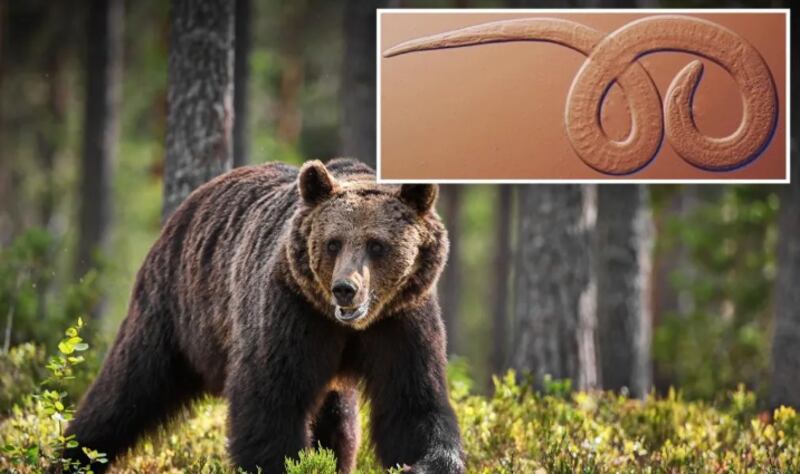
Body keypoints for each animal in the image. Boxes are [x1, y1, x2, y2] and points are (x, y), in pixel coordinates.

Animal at [65, 159, 466, 474]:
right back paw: (74, 454)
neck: (346, 326)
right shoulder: (291, 310)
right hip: (173, 310)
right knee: (127, 389)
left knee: (338, 422)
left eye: (377, 245)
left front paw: (426, 464)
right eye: (333, 242)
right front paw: (285, 462)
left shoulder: (401, 320)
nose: (345, 289)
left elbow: (412, 403)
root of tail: (188, 205)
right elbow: (270, 403)